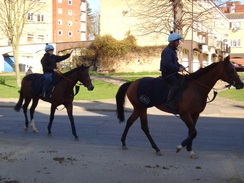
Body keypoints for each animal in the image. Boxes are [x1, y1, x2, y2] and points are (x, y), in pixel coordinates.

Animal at [116, 56, 244, 158]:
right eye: (230, 69)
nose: (241, 84)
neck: (196, 88)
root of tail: (132, 83)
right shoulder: (185, 114)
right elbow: (193, 132)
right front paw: (179, 147)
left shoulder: (195, 114)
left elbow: (191, 132)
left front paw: (190, 150)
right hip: (142, 108)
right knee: (145, 127)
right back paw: (156, 148)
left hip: (139, 108)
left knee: (130, 122)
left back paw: (123, 143)